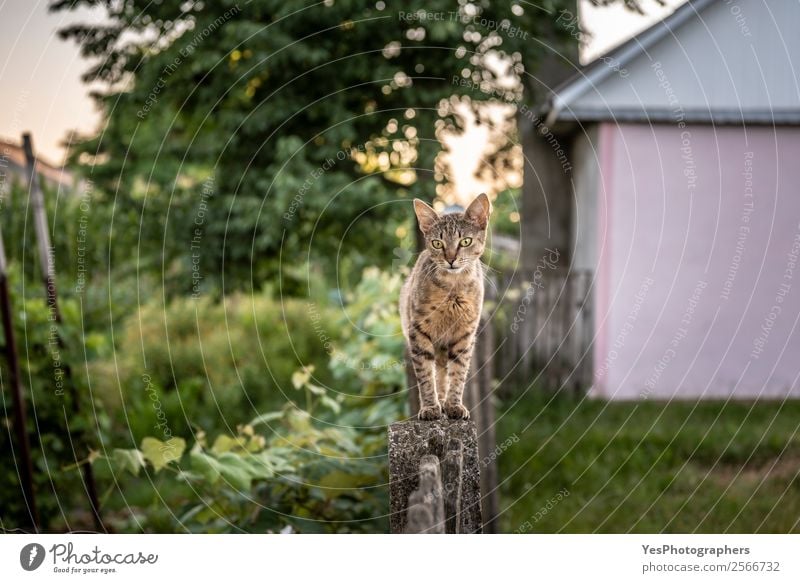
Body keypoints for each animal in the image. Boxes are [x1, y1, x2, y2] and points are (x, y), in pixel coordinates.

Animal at [400, 195, 494, 420]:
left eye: (465, 241)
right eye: (437, 243)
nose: (450, 259)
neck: (453, 288)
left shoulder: (465, 335)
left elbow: (458, 374)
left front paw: (453, 405)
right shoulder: (418, 332)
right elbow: (426, 375)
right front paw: (430, 407)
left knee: (443, 372)